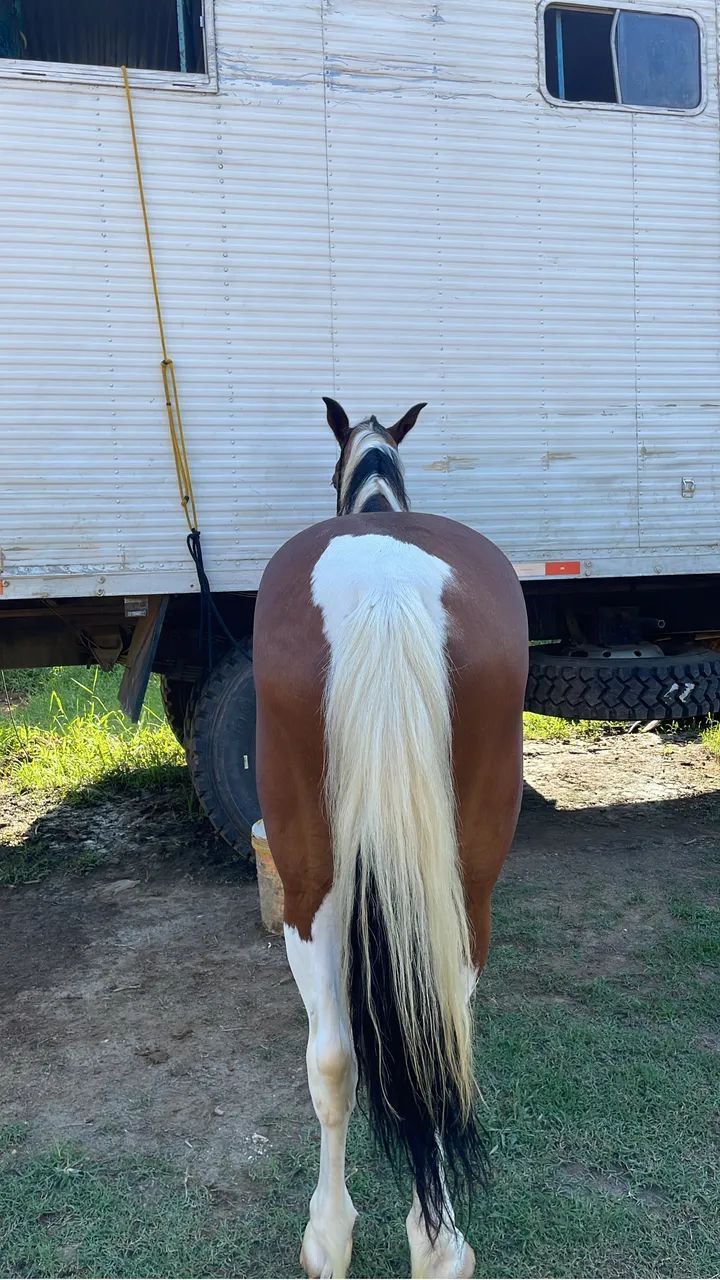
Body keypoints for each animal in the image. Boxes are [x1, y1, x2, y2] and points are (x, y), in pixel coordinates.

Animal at [253, 398, 528, 1279]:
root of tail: (382, 588)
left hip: (311, 882)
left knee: (336, 1056)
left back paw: (332, 1238)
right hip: (458, 885)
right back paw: (433, 1246)